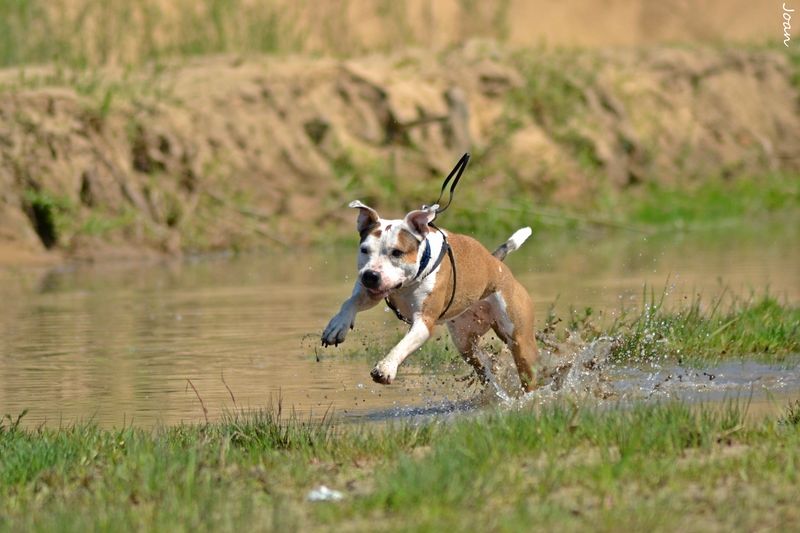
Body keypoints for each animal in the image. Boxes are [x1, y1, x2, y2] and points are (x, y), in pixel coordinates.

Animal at [321, 200, 539, 392]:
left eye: (397, 253)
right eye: (364, 250)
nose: (370, 276)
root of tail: (495, 263)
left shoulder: (423, 322)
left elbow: (402, 345)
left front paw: (386, 367)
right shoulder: (371, 291)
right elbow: (350, 302)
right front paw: (337, 326)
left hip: (519, 338)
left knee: (528, 372)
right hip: (464, 341)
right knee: (484, 368)